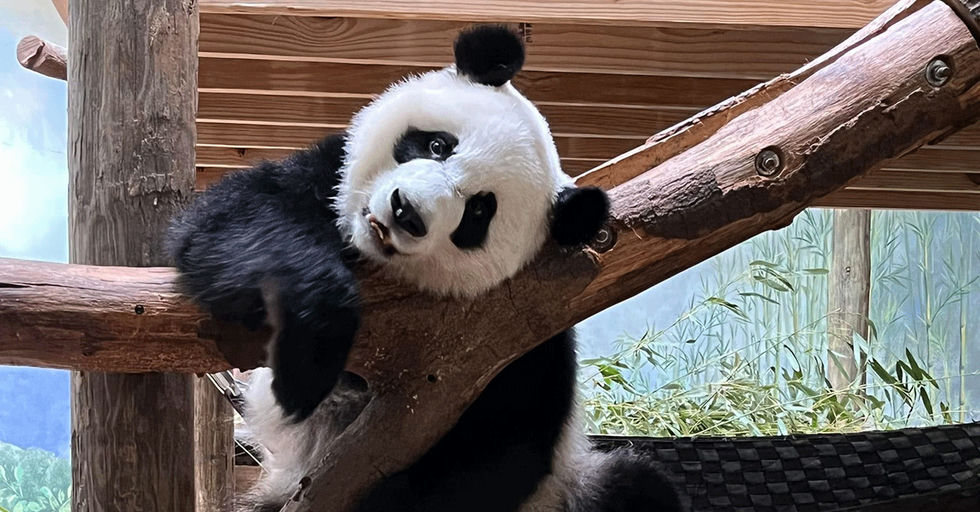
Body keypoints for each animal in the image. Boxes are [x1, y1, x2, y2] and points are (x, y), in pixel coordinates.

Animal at [168, 25, 683, 512]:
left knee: (639, 485)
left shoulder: (518, 334)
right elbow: (239, 220)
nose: (406, 212)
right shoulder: (325, 176)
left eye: (478, 213)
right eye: (437, 145)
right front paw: (308, 353)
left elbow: (501, 451)